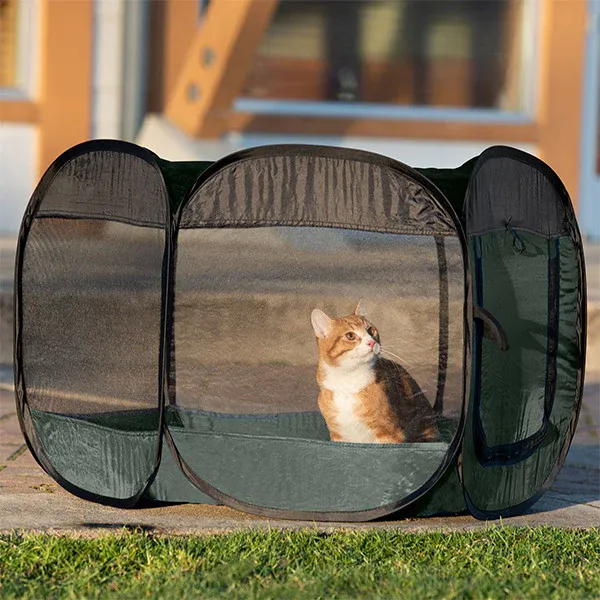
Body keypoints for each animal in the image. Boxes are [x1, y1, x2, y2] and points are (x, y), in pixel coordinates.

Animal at [312, 302, 438, 442]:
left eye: (370, 330)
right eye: (350, 336)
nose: (371, 342)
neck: (348, 383)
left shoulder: (390, 434)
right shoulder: (339, 437)